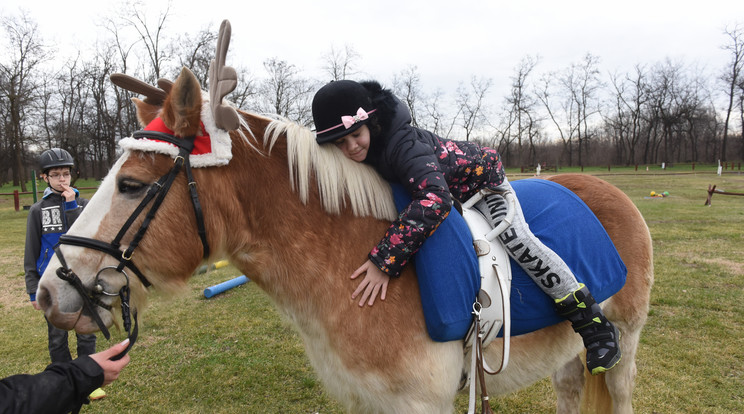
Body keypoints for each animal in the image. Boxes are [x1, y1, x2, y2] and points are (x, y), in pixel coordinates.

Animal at [36, 20, 652, 414]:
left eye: (131, 185)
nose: (48, 292)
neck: (341, 257)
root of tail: (609, 191)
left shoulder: (418, 405)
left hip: (623, 348)